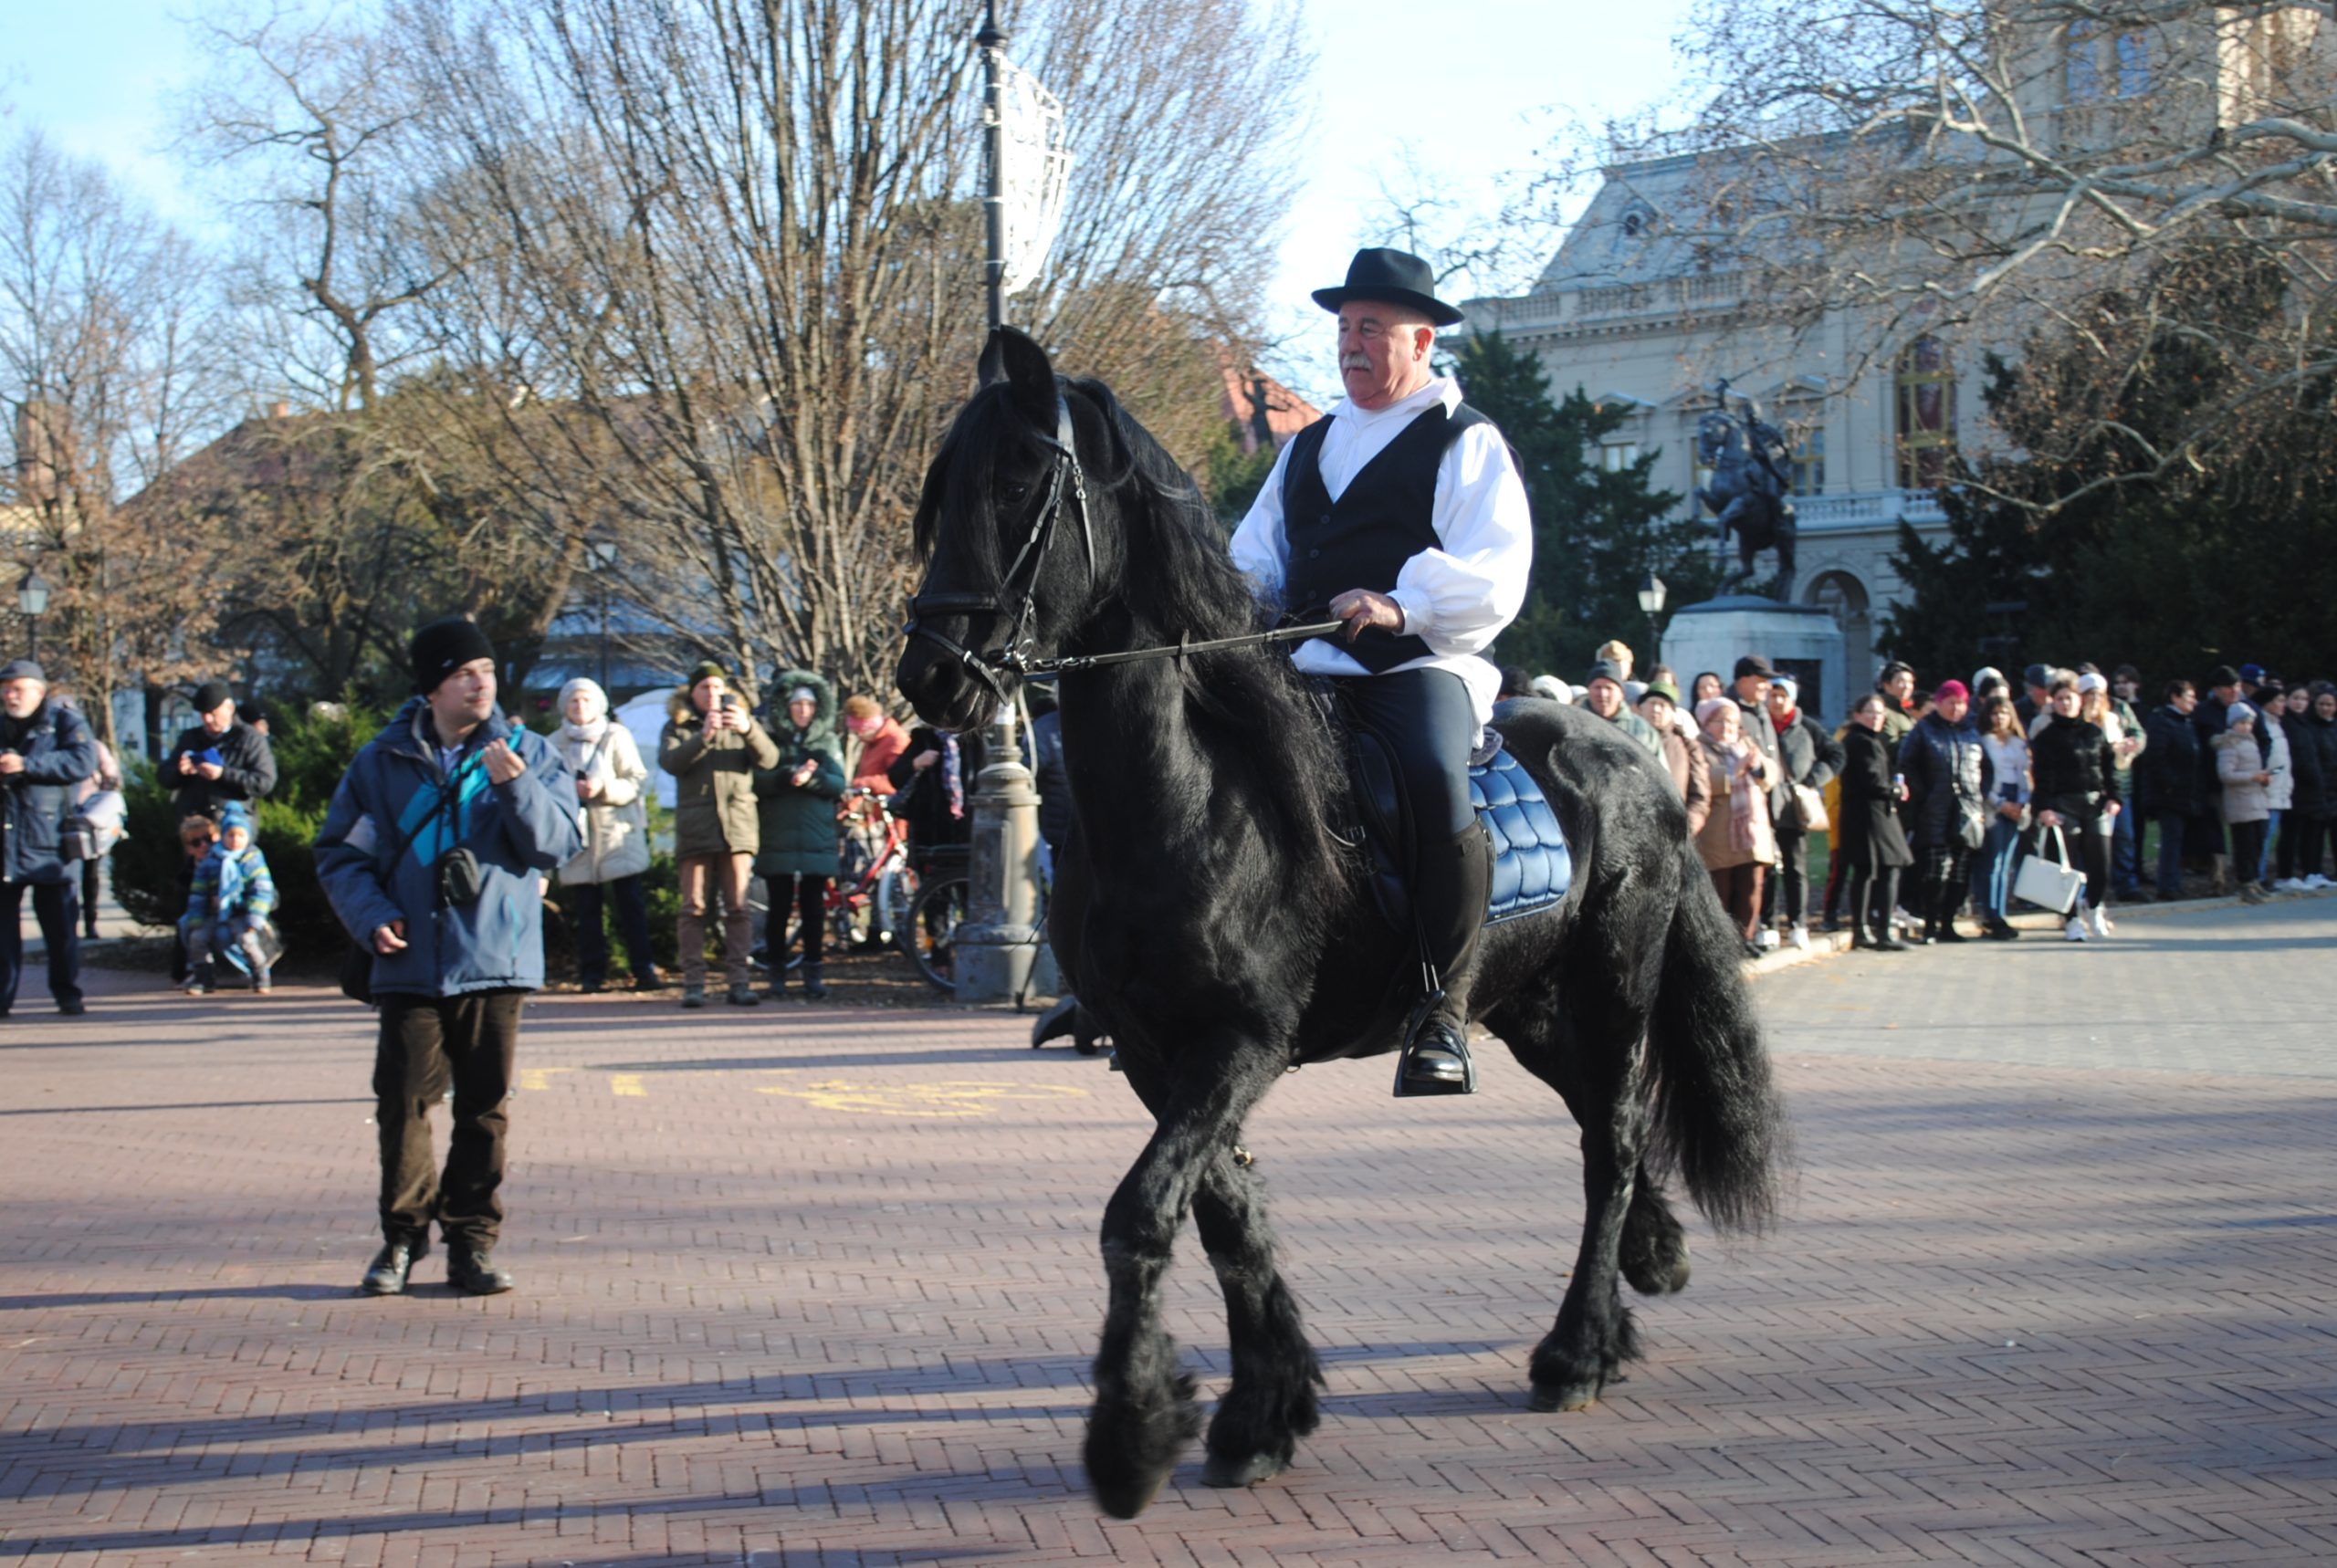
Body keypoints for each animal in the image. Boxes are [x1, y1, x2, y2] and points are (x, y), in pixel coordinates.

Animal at [897, 331, 1785, 1523]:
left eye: (1017, 484)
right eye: (941, 489)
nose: (931, 675)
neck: (1192, 793)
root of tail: (1628, 752)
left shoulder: (1240, 1039)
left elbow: (1143, 1212)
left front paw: (1134, 1434)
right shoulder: (1155, 1048)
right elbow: (1224, 1208)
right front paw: (1264, 1407)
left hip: (1611, 989)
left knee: (1613, 1138)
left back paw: (1577, 1350)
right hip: (1530, 1004)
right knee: (1614, 1128)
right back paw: (1651, 1262)